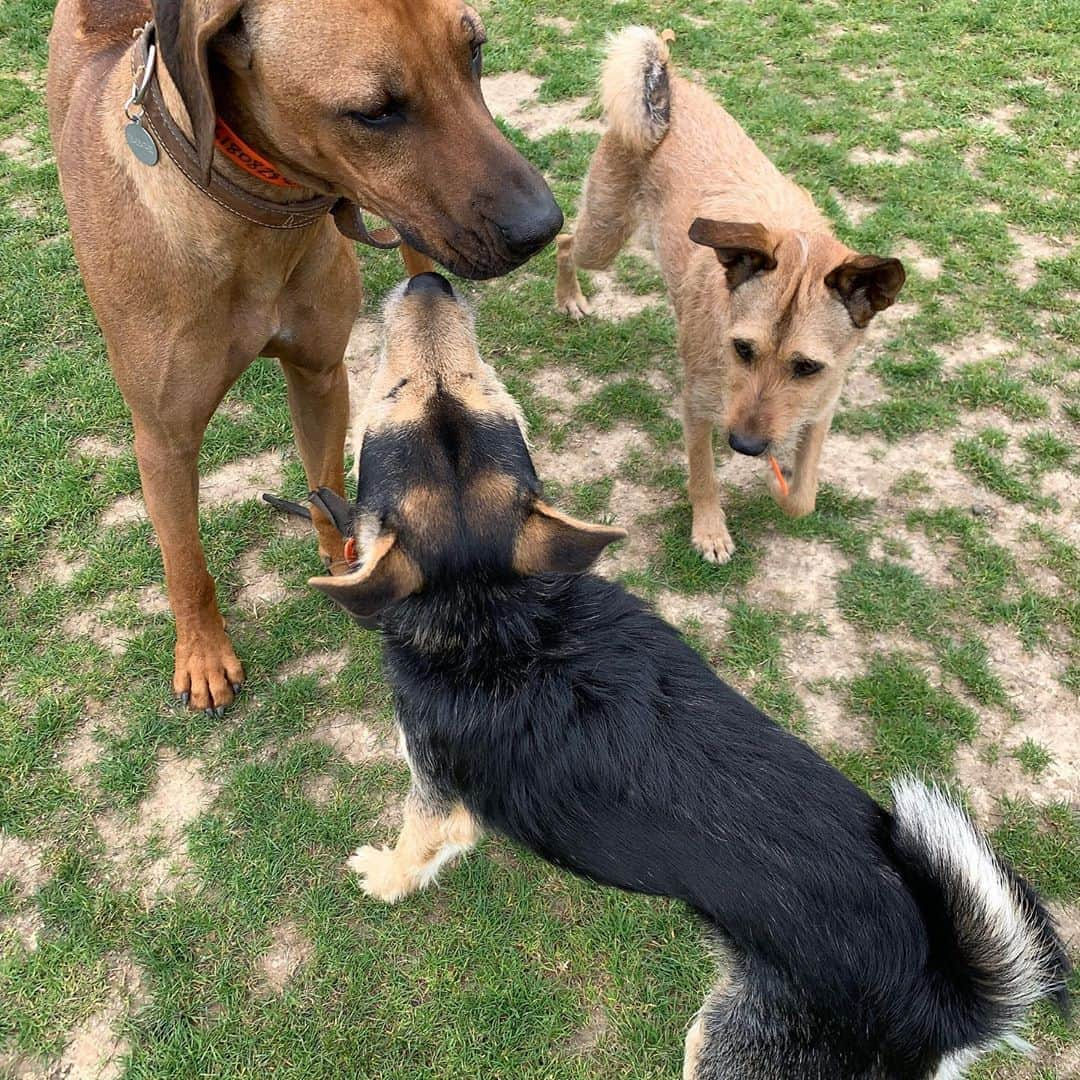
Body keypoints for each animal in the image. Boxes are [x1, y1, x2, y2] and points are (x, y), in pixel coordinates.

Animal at [46, 0, 561, 712]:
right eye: (374, 111)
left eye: (475, 52)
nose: (545, 227)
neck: (253, 215)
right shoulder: (162, 437)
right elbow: (185, 562)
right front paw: (202, 656)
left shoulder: (319, 375)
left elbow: (326, 481)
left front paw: (350, 563)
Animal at [311, 276, 1071, 1080]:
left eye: (464, 384)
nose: (431, 281)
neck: (494, 608)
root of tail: (944, 1001)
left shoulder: (435, 793)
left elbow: (414, 847)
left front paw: (382, 877)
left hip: (723, 1044)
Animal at [557, 27, 902, 565]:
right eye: (742, 349)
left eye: (807, 367)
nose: (744, 445)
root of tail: (670, 89)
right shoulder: (699, 408)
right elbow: (703, 477)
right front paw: (710, 530)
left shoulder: (821, 410)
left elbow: (804, 498)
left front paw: (781, 486)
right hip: (604, 236)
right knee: (564, 241)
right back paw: (569, 298)